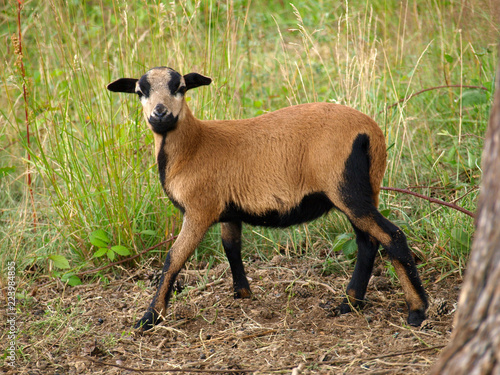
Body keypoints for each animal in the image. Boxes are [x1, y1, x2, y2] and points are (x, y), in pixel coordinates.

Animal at [107, 67, 428, 332]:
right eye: (140, 91)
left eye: (181, 87)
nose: (160, 114)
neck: (193, 146)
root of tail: (372, 133)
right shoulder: (229, 211)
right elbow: (231, 247)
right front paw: (243, 294)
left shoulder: (199, 210)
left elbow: (173, 259)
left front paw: (149, 318)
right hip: (364, 189)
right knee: (367, 242)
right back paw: (349, 304)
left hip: (346, 189)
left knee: (392, 236)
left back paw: (417, 311)